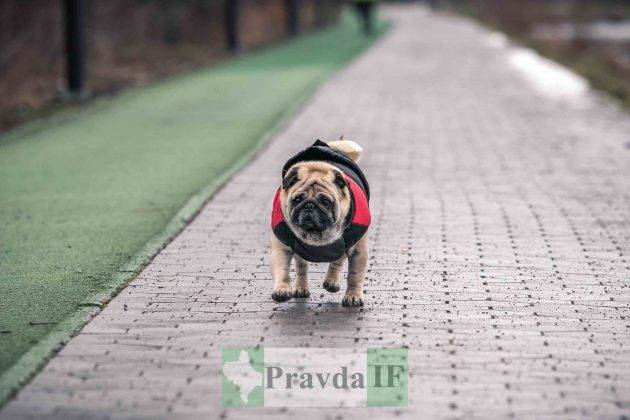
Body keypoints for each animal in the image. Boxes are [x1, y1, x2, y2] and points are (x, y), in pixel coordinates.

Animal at [270, 139, 370, 306]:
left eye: (325, 202)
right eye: (298, 199)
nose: (309, 206)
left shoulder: (358, 251)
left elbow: (354, 276)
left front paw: (353, 296)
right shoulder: (281, 248)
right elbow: (283, 270)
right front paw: (282, 290)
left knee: (337, 262)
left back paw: (331, 282)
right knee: (301, 267)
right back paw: (301, 288)